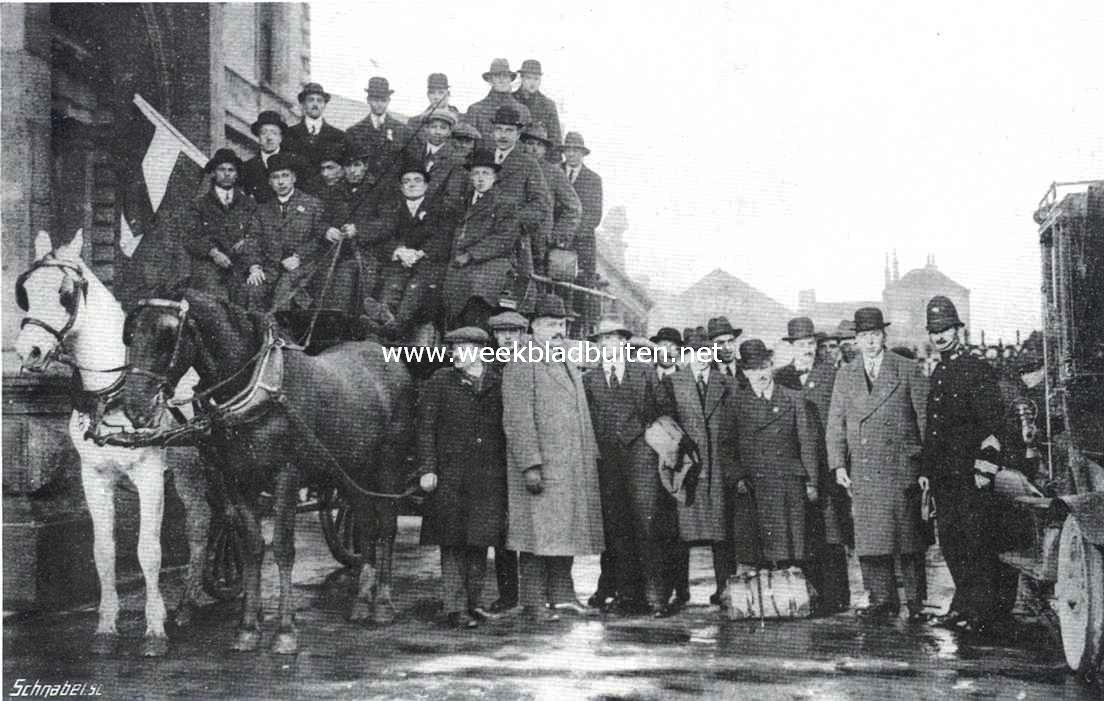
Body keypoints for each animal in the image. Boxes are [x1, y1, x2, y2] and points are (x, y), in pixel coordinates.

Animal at [15, 231, 210, 657]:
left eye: (64, 293)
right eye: (25, 292)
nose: (27, 351)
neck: (110, 392)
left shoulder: (150, 476)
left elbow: (148, 551)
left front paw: (154, 629)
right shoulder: (94, 477)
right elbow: (103, 551)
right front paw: (106, 626)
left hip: (193, 474)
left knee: (201, 524)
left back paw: (191, 601)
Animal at [120, 289, 415, 653]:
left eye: (167, 335)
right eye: (131, 333)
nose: (134, 407)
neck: (254, 388)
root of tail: (384, 353)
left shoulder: (285, 477)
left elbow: (284, 549)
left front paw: (285, 631)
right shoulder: (237, 480)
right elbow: (252, 547)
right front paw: (247, 628)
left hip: (389, 466)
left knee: (386, 526)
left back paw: (383, 603)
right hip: (353, 471)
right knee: (366, 524)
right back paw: (361, 602)